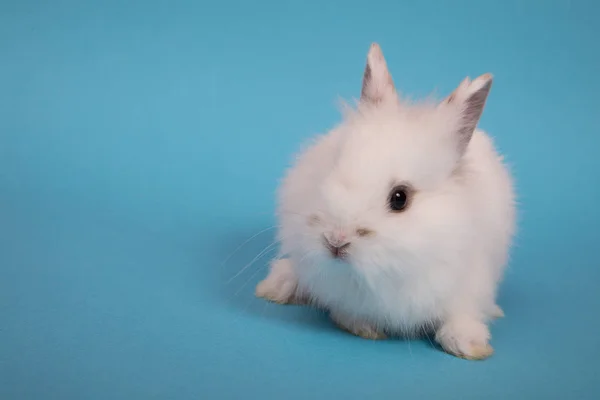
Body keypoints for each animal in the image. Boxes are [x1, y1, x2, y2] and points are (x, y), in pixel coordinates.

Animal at [256, 43, 516, 360]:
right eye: (332, 167)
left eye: (400, 198)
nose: (335, 241)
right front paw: (362, 327)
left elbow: (460, 316)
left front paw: (470, 345)